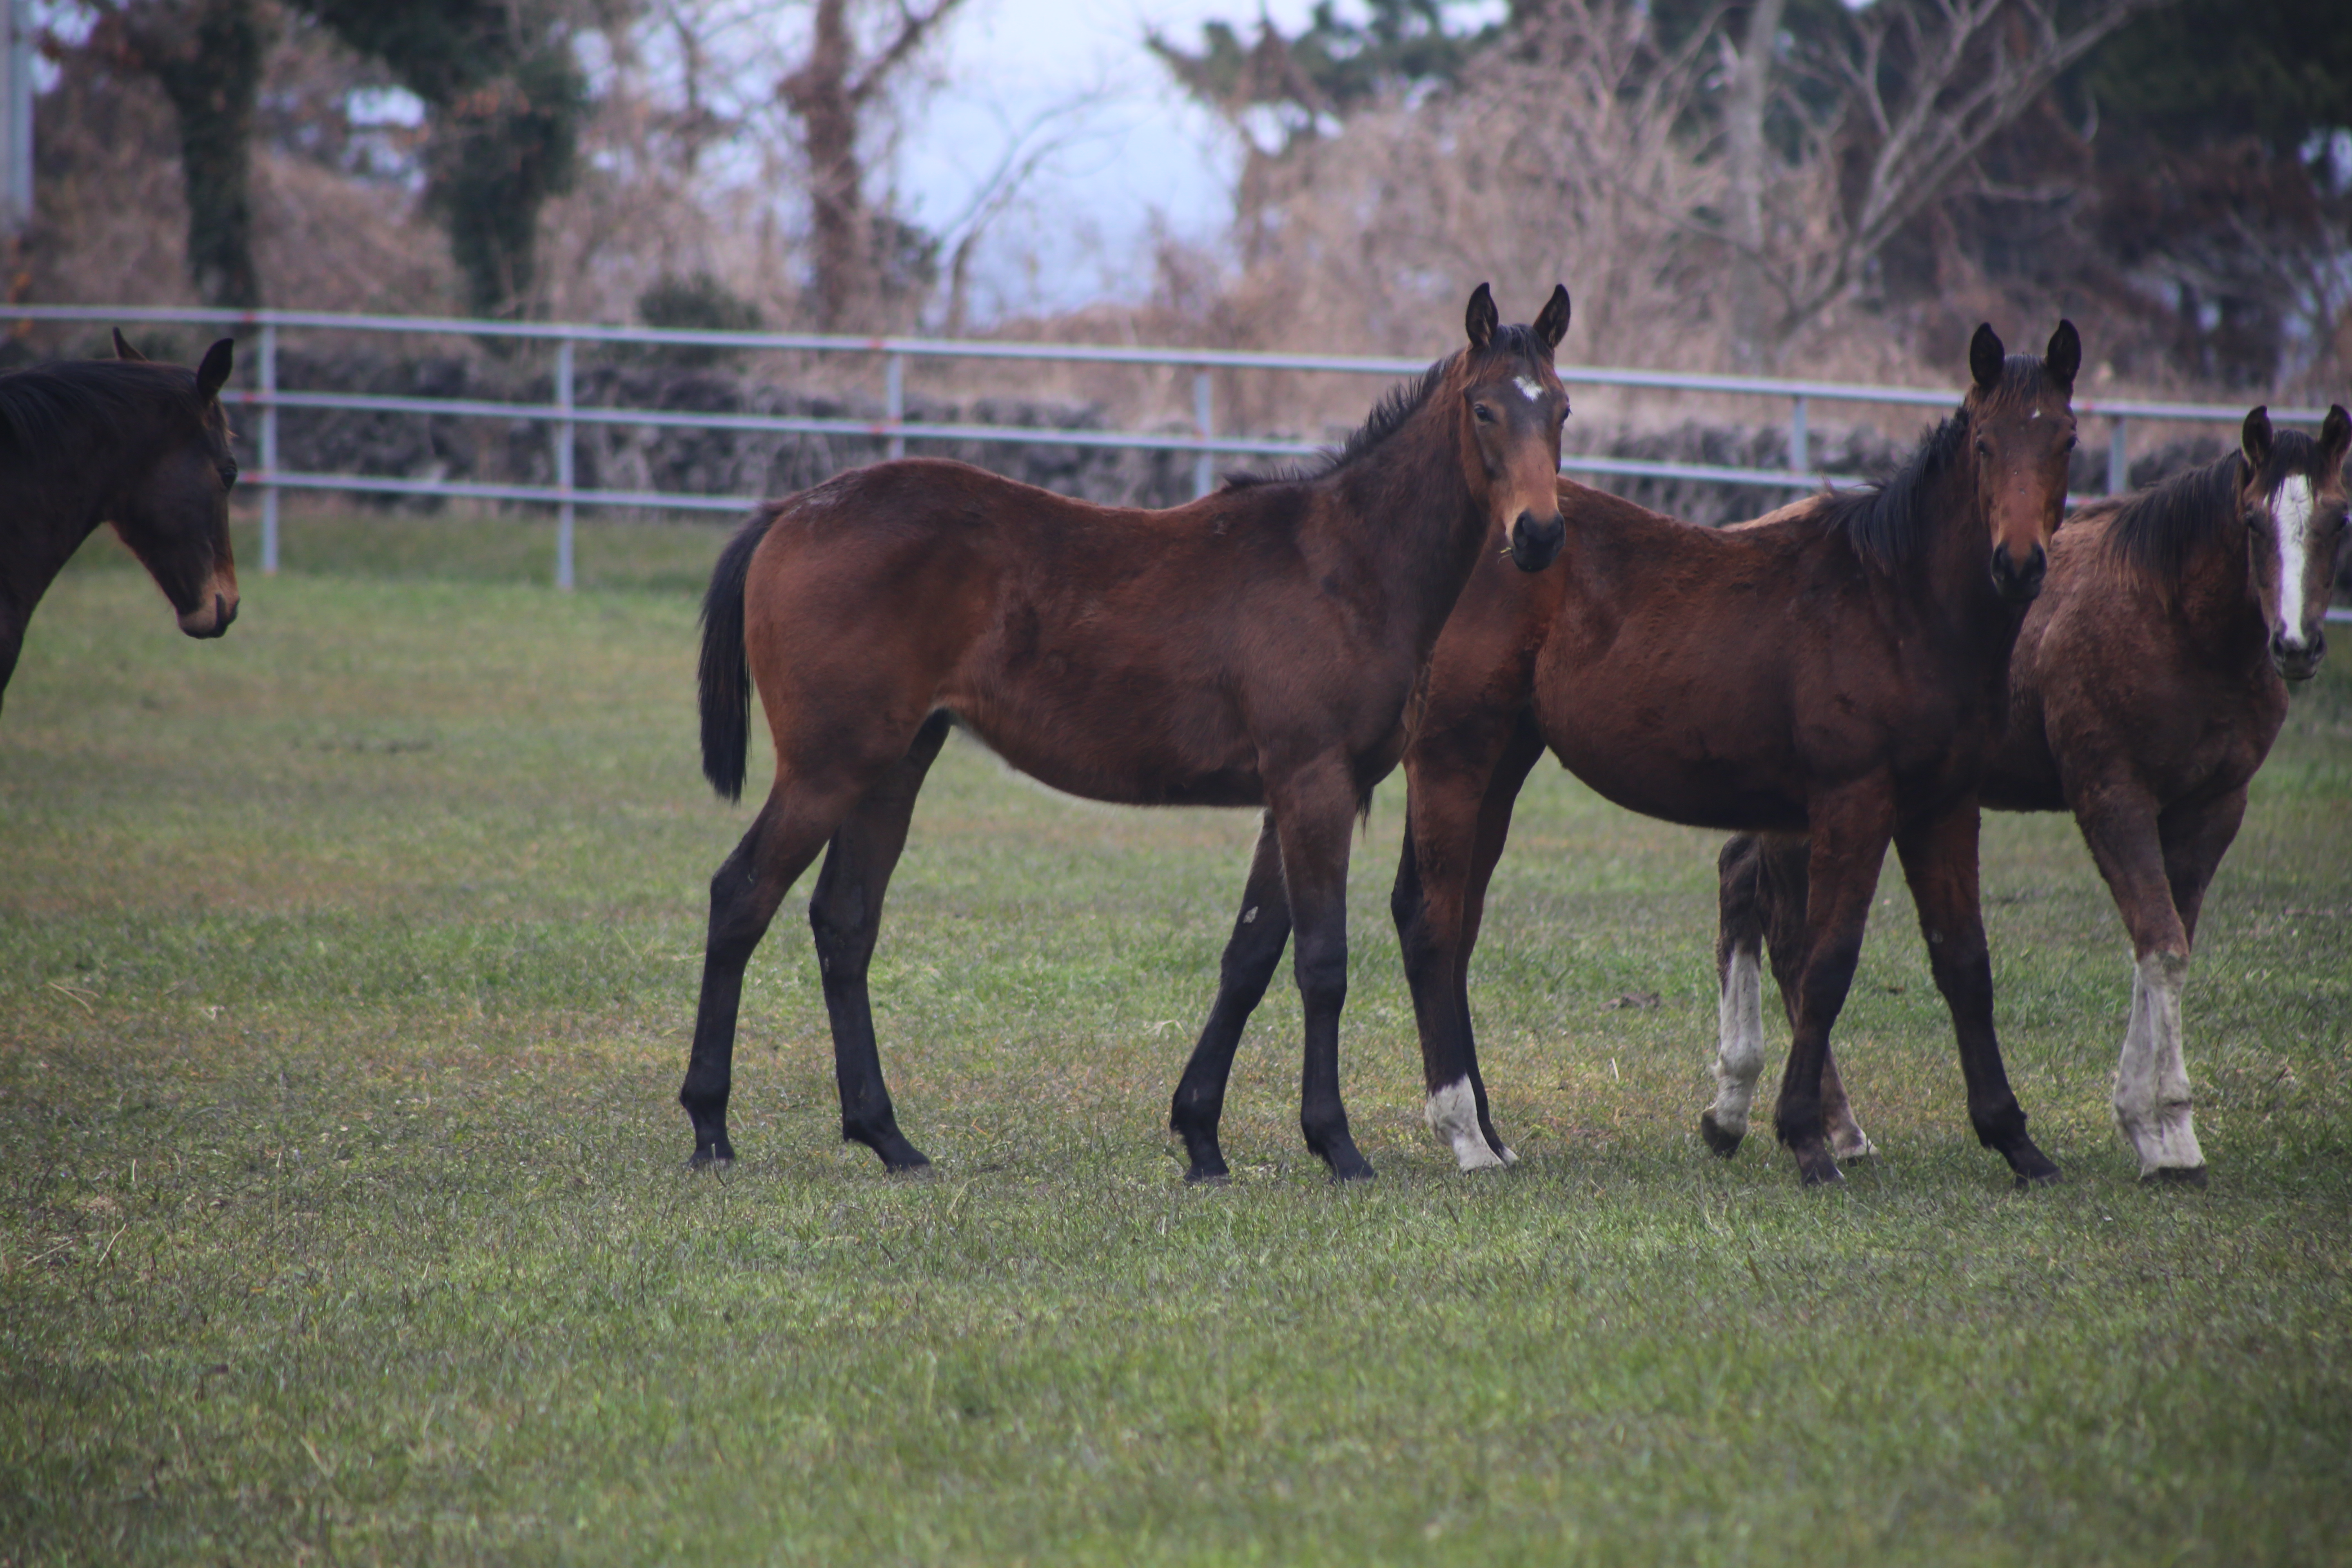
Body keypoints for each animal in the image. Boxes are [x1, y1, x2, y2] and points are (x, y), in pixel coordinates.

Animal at [686, 288, 1571, 1185]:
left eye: (1562, 410)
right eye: (1485, 408)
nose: (1539, 535)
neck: (1349, 565)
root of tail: (790, 511)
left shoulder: (1289, 796)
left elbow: (1249, 957)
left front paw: (1203, 1138)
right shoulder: (1315, 783)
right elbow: (1321, 964)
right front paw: (1336, 1144)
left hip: (894, 763)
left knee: (845, 922)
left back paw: (888, 1138)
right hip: (827, 768)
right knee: (742, 897)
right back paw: (711, 1128)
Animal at [1712, 409, 2352, 1189]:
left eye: (2340, 520)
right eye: (2253, 523)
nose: (2296, 644)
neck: (2167, 615)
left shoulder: (2213, 808)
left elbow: (2165, 944)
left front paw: (2149, 1126)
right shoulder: (2111, 792)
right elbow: (2161, 942)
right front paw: (2169, 1132)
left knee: (1747, 889)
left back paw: (1779, 1120)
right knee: (1780, 925)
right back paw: (1803, 1121)